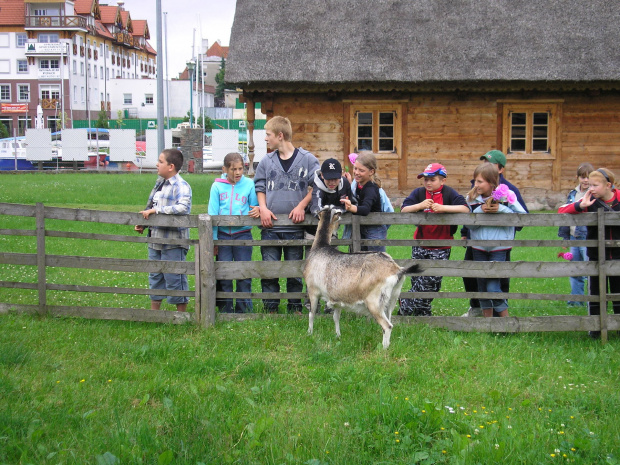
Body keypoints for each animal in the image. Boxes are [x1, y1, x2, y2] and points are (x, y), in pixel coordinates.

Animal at [304, 206, 424, 348]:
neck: (320, 248)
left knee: (387, 326)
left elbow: (311, 314)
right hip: (392, 299)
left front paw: (310, 333)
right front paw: (338, 335)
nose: (335, 233)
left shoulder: (313, 290)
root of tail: (397, 269)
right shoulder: (337, 298)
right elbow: (336, 317)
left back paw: (383, 349)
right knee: (390, 321)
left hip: (375, 302)